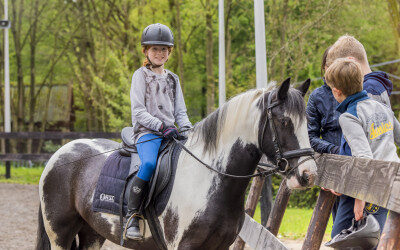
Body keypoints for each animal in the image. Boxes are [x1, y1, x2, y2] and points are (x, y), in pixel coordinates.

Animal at [36, 77, 318, 249]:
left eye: (306, 121)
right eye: (284, 121)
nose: (308, 174)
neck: (209, 179)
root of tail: (60, 154)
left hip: (92, 232)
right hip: (60, 235)